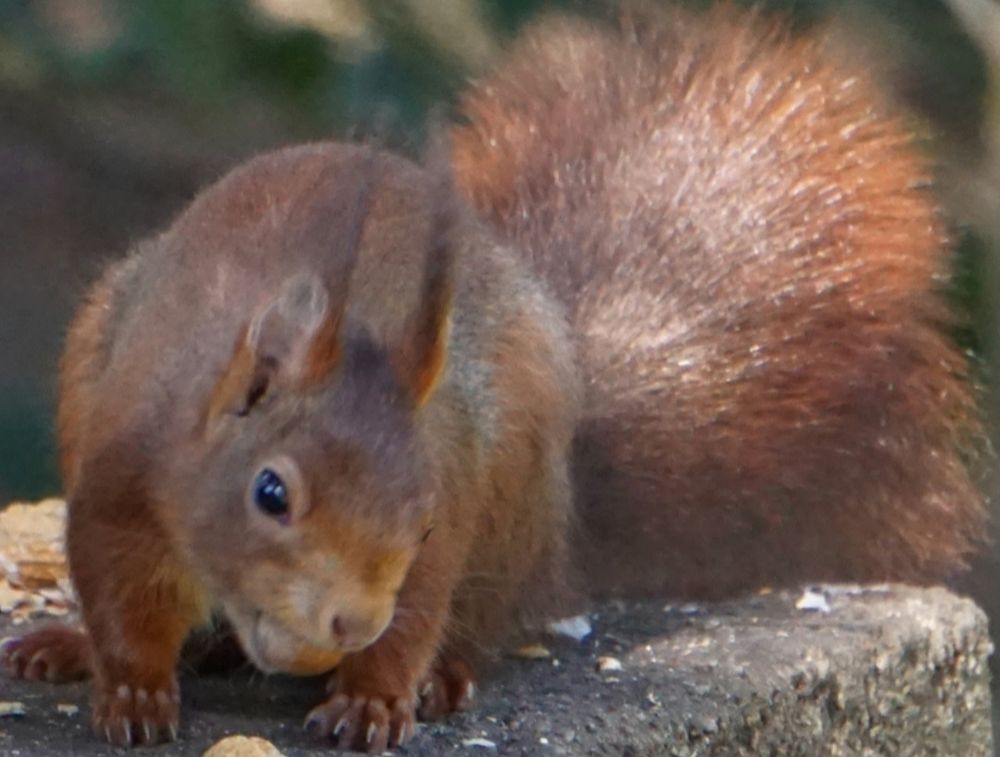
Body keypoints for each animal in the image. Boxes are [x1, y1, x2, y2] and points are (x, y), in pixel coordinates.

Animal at [0, 2, 985, 753]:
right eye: (269, 492)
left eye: (425, 518)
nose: (348, 625)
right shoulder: (122, 475)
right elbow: (121, 593)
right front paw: (128, 685)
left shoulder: (453, 494)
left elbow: (419, 608)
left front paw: (376, 694)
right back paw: (71, 646)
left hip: (514, 508)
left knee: (484, 619)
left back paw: (446, 674)